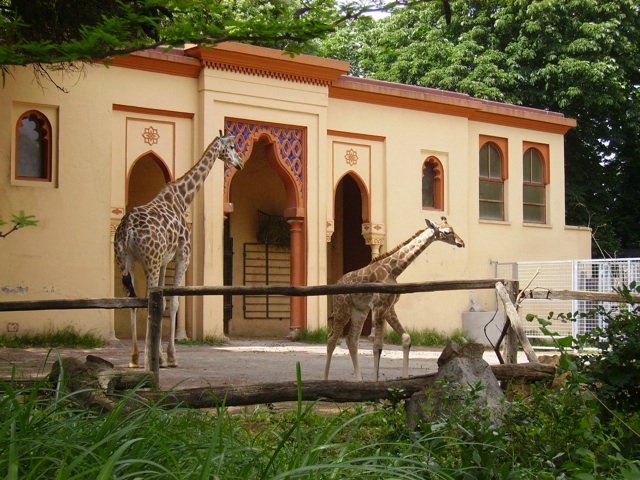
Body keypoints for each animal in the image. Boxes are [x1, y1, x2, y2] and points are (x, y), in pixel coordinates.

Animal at [112, 131, 242, 372]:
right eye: (231, 146)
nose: (240, 163)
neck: (183, 198)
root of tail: (128, 230)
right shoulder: (183, 256)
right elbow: (173, 303)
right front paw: (170, 357)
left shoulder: (165, 260)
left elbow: (162, 302)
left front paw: (162, 356)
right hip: (149, 261)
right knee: (145, 301)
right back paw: (147, 359)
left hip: (125, 261)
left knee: (132, 301)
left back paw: (134, 358)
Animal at [324, 218, 464, 382]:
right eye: (447, 232)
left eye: (452, 228)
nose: (461, 243)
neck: (394, 269)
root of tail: (336, 284)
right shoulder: (380, 307)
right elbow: (377, 345)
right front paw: (375, 381)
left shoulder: (389, 307)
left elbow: (406, 338)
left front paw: (404, 379)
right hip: (342, 309)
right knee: (332, 339)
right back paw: (325, 380)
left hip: (360, 311)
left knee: (351, 340)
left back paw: (359, 380)